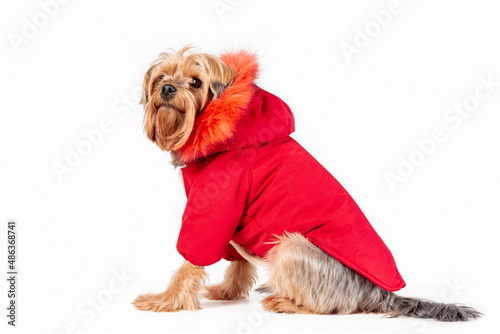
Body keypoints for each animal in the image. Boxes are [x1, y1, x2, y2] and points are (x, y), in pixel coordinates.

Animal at [132, 46, 480, 320]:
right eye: (161, 77)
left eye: (196, 82)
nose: (167, 89)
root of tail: (380, 294)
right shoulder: (232, 221)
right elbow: (237, 261)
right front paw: (229, 291)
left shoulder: (217, 203)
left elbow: (191, 257)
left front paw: (164, 300)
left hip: (290, 246)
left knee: (332, 307)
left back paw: (286, 302)